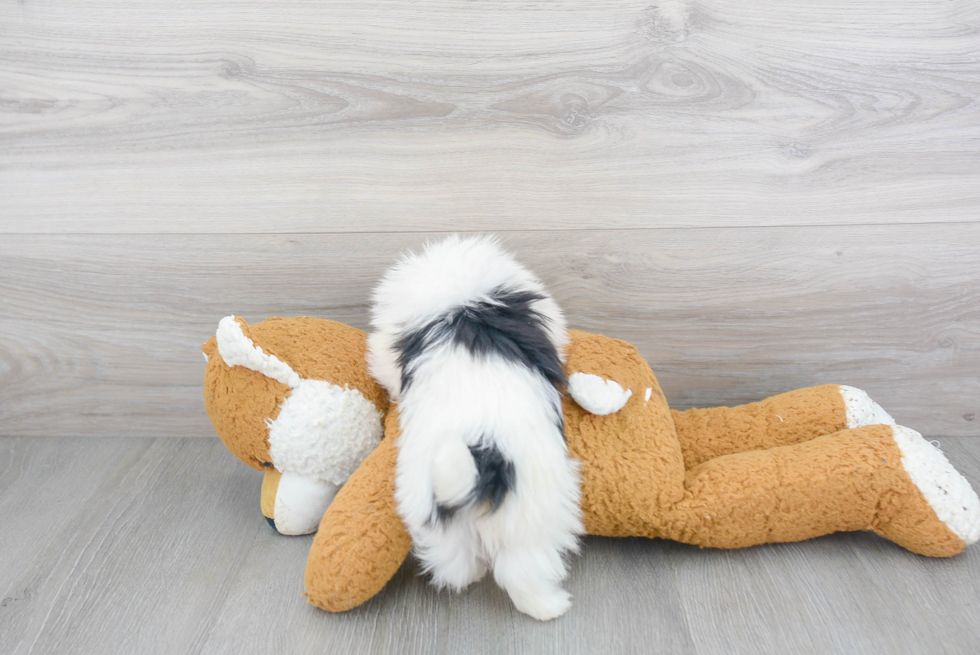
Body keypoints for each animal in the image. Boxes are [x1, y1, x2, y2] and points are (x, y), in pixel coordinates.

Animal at [368, 234, 580, 620]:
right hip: (534, 514)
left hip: (449, 519)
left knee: (464, 566)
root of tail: (486, 462)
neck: (462, 309)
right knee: (518, 568)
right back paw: (552, 605)